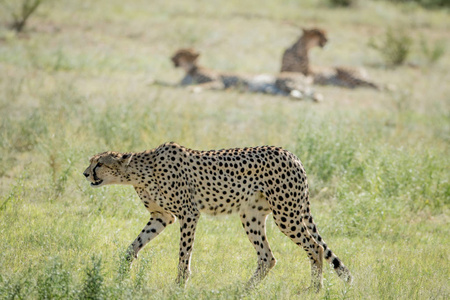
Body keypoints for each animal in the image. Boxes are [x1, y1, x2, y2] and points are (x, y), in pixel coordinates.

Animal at [83, 142, 352, 290]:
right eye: (91, 162)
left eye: (99, 163)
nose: (85, 173)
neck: (140, 172)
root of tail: (291, 154)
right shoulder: (162, 216)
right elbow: (133, 245)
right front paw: (121, 272)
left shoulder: (188, 214)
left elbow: (184, 254)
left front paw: (180, 285)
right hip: (251, 215)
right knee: (268, 257)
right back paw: (244, 290)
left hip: (287, 214)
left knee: (315, 247)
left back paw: (314, 289)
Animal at [171, 48, 322, 101]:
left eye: (180, 53)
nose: (171, 57)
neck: (190, 69)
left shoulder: (217, 82)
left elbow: (204, 85)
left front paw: (193, 88)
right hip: (277, 89)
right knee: (299, 94)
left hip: (285, 82)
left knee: (313, 92)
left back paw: (315, 97)